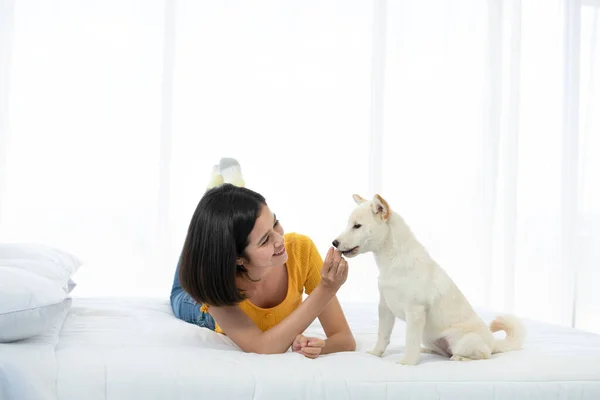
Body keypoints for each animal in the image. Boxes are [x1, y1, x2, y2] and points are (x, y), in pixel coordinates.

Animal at [332, 194, 524, 366]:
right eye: (349, 225)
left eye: (357, 226)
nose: (334, 243)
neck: (392, 262)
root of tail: (493, 342)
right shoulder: (385, 308)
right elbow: (382, 336)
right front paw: (375, 354)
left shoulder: (414, 312)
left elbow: (410, 341)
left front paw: (407, 363)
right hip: (428, 337)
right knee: (443, 352)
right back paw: (427, 351)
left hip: (462, 341)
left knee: (483, 355)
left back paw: (461, 358)